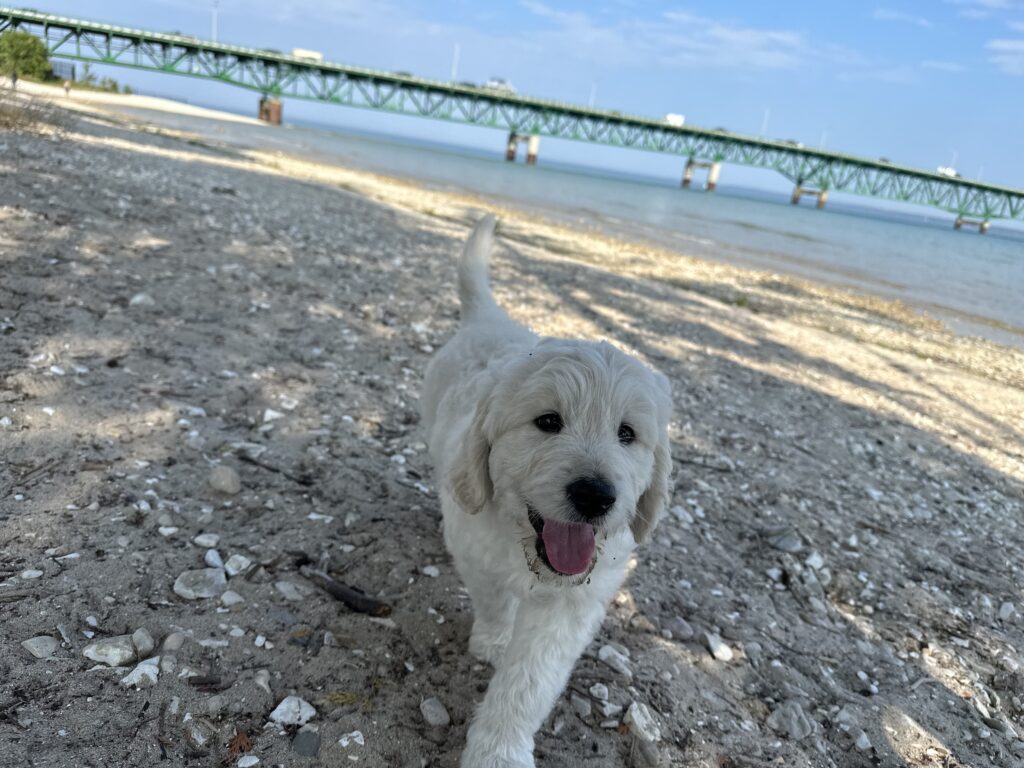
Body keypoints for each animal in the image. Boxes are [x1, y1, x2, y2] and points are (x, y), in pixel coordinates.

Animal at [420, 215, 673, 767]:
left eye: (627, 434)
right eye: (548, 422)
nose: (596, 496)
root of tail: (490, 318)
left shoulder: (571, 606)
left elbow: (529, 681)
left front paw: (499, 751)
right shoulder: (476, 551)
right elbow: (494, 601)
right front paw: (494, 639)